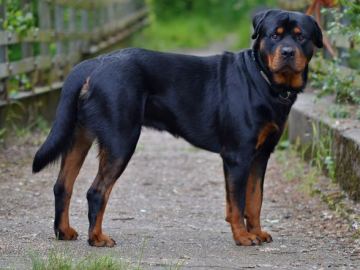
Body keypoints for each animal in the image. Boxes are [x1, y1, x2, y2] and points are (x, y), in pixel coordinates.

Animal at [32, 9, 322, 247]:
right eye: (274, 35)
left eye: (301, 37)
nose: (287, 52)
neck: (264, 81)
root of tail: (93, 63)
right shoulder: (238, 155)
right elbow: (237, 203)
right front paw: (242, 237)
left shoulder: (260, 155)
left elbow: (255, 199)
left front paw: (257, 232)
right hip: (120, 139)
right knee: (96, 191)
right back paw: (97, 238)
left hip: (79, 136)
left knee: (63, 185)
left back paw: (64, 231)